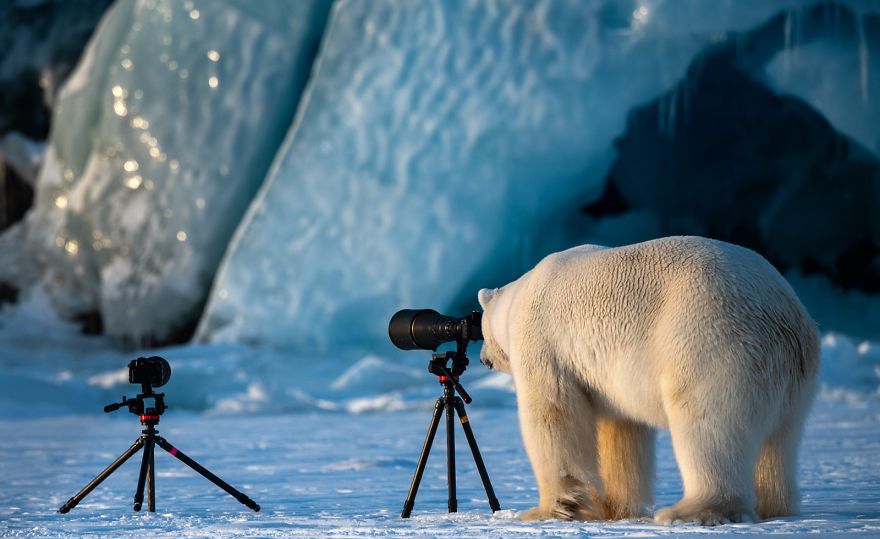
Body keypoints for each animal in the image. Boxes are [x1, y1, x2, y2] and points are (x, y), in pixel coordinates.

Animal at [478, 236, 820, 524]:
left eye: (480, 329)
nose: (483, 359)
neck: (519, 296)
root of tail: (785, 314)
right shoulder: (609, 378)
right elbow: (621, 430)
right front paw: (613, 508)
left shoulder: (543, 343)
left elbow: (553, 415)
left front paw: (549, 510)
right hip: (792, 378)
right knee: (780, 441)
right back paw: (775, 507)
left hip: (712, 342)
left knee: (708, 426)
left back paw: (689, 511)